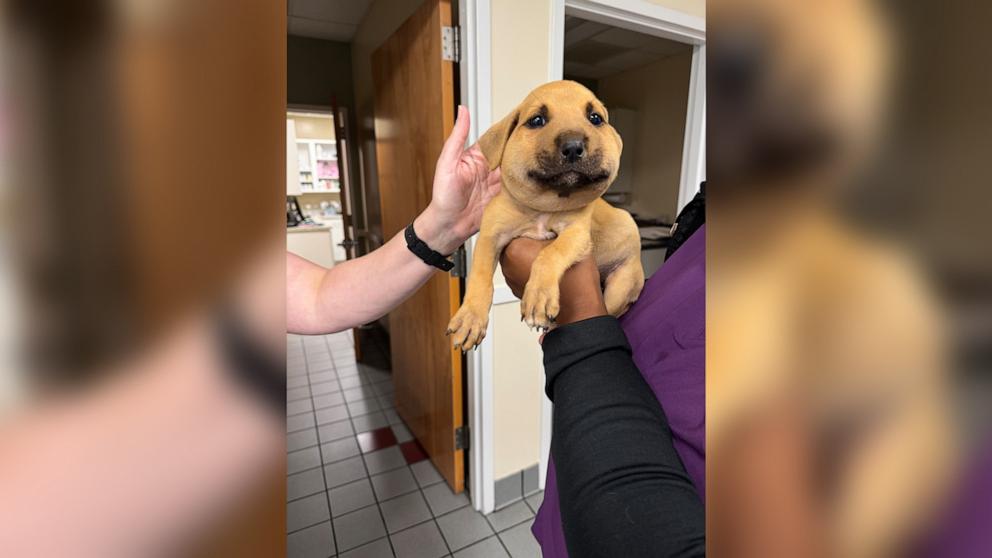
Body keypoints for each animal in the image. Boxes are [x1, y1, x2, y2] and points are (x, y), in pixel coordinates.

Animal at [448, 80, 644, 350]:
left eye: (595, 118)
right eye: (537, 120)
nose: (573, 146)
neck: (543, 208)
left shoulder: (576, 234)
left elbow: (551, 253)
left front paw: (539, 296)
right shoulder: (490, 235)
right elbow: (479, 276)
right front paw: (470, 318)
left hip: (620, 286)